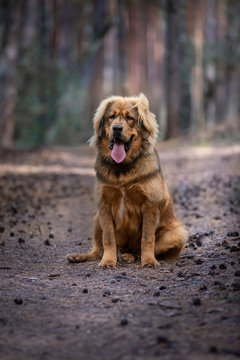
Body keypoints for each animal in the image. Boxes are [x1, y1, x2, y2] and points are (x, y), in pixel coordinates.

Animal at [67, 93, 188, 268]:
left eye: (130, 118)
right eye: (111, 117)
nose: (117, 128)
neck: (123, 169)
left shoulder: (149, 206)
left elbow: (147, 238)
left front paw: (149, 261)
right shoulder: (104, 205)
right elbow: (108, 238)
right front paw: (108, 261)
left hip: (176, 231)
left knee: (139, 249)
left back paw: (130, 257)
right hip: (97, 218)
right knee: (98, 250)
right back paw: (81, 256)